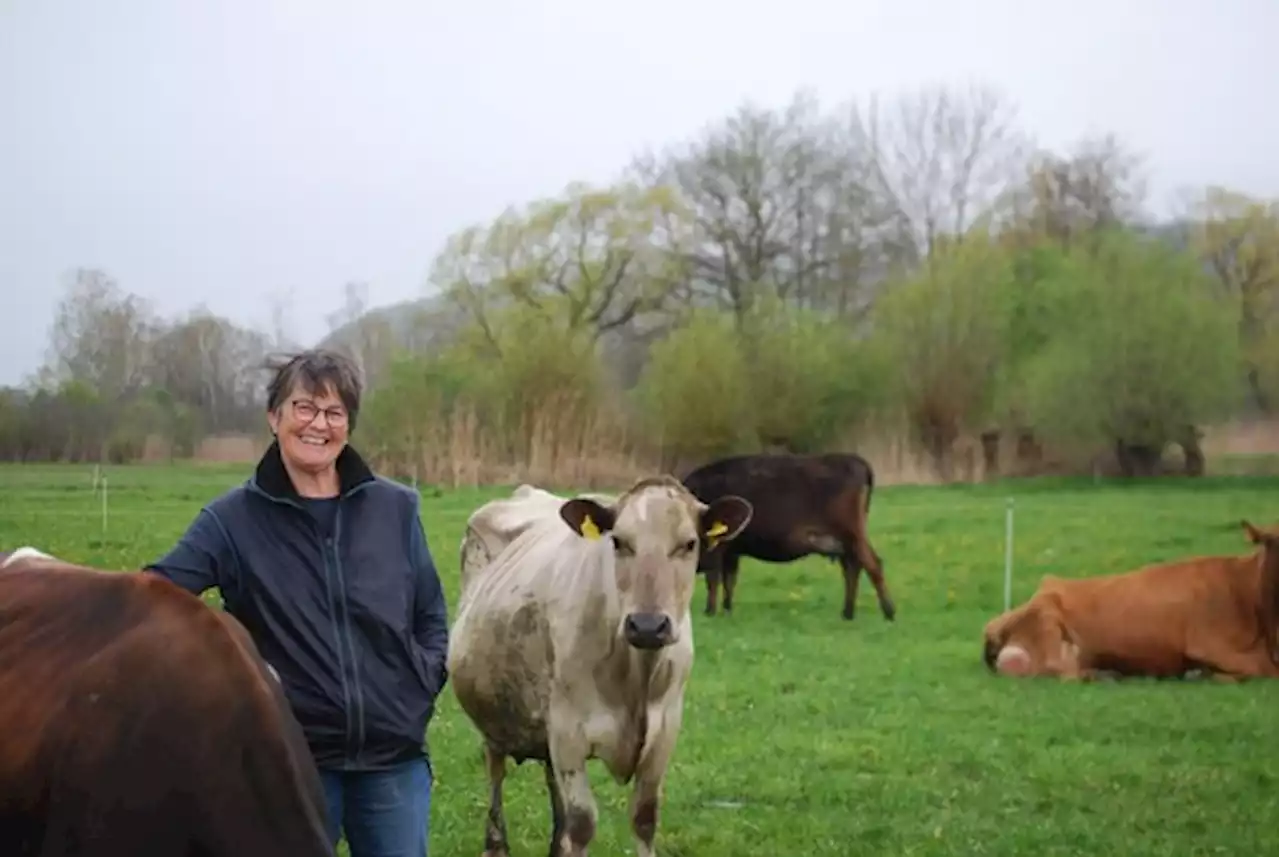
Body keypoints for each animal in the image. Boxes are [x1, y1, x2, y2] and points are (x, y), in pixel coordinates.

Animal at [448, 475, 747, 857]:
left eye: (689, 543)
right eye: (618, 542)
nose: (647, 625)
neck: (636, 677)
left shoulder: (664, 732)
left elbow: (644, 818)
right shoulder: (568, 733)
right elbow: (581, 824)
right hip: (494, 718)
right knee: (495, 773)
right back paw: (496, 844)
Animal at [680, 452, 890, 621]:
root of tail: (854, 460)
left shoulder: (717, 548)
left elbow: (713, 579)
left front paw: (710, 612)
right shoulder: (732, 550)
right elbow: (729, 580)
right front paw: (727, 610)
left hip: (852, 533)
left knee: (872, 564)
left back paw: (888, 612)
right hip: (843, 542)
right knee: (852, 568)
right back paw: (848, 613)